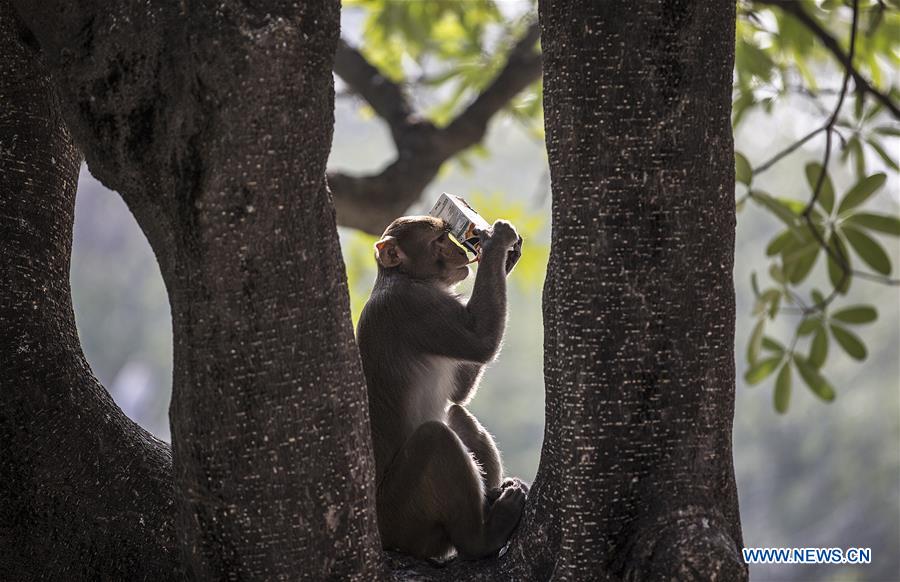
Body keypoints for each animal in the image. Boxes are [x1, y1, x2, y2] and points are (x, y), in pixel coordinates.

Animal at [356, 214, 532, 560]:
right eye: (438, 240)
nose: (461, 253)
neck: (406, 277)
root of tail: (384, 539)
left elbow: (457, 394)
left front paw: (505, 259)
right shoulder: (413, 307)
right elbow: (480, 341)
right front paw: (495, 242)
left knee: (455, 414)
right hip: (401, 518)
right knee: (436, 438)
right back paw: (482, 539)